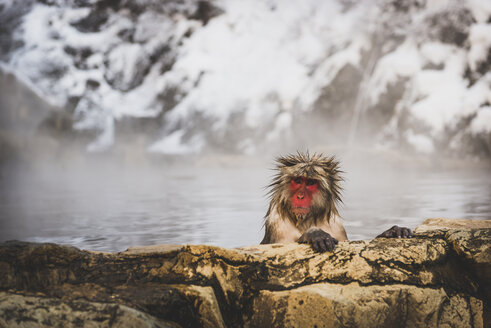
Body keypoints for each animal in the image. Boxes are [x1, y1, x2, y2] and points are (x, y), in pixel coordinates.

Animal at [262, 152, 416, 252]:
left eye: (310, 183)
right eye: (298, 180)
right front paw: (315, 234)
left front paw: (392, 231)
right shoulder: (278, 223)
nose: (300, 196)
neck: (305, 220)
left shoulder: (335, 225)